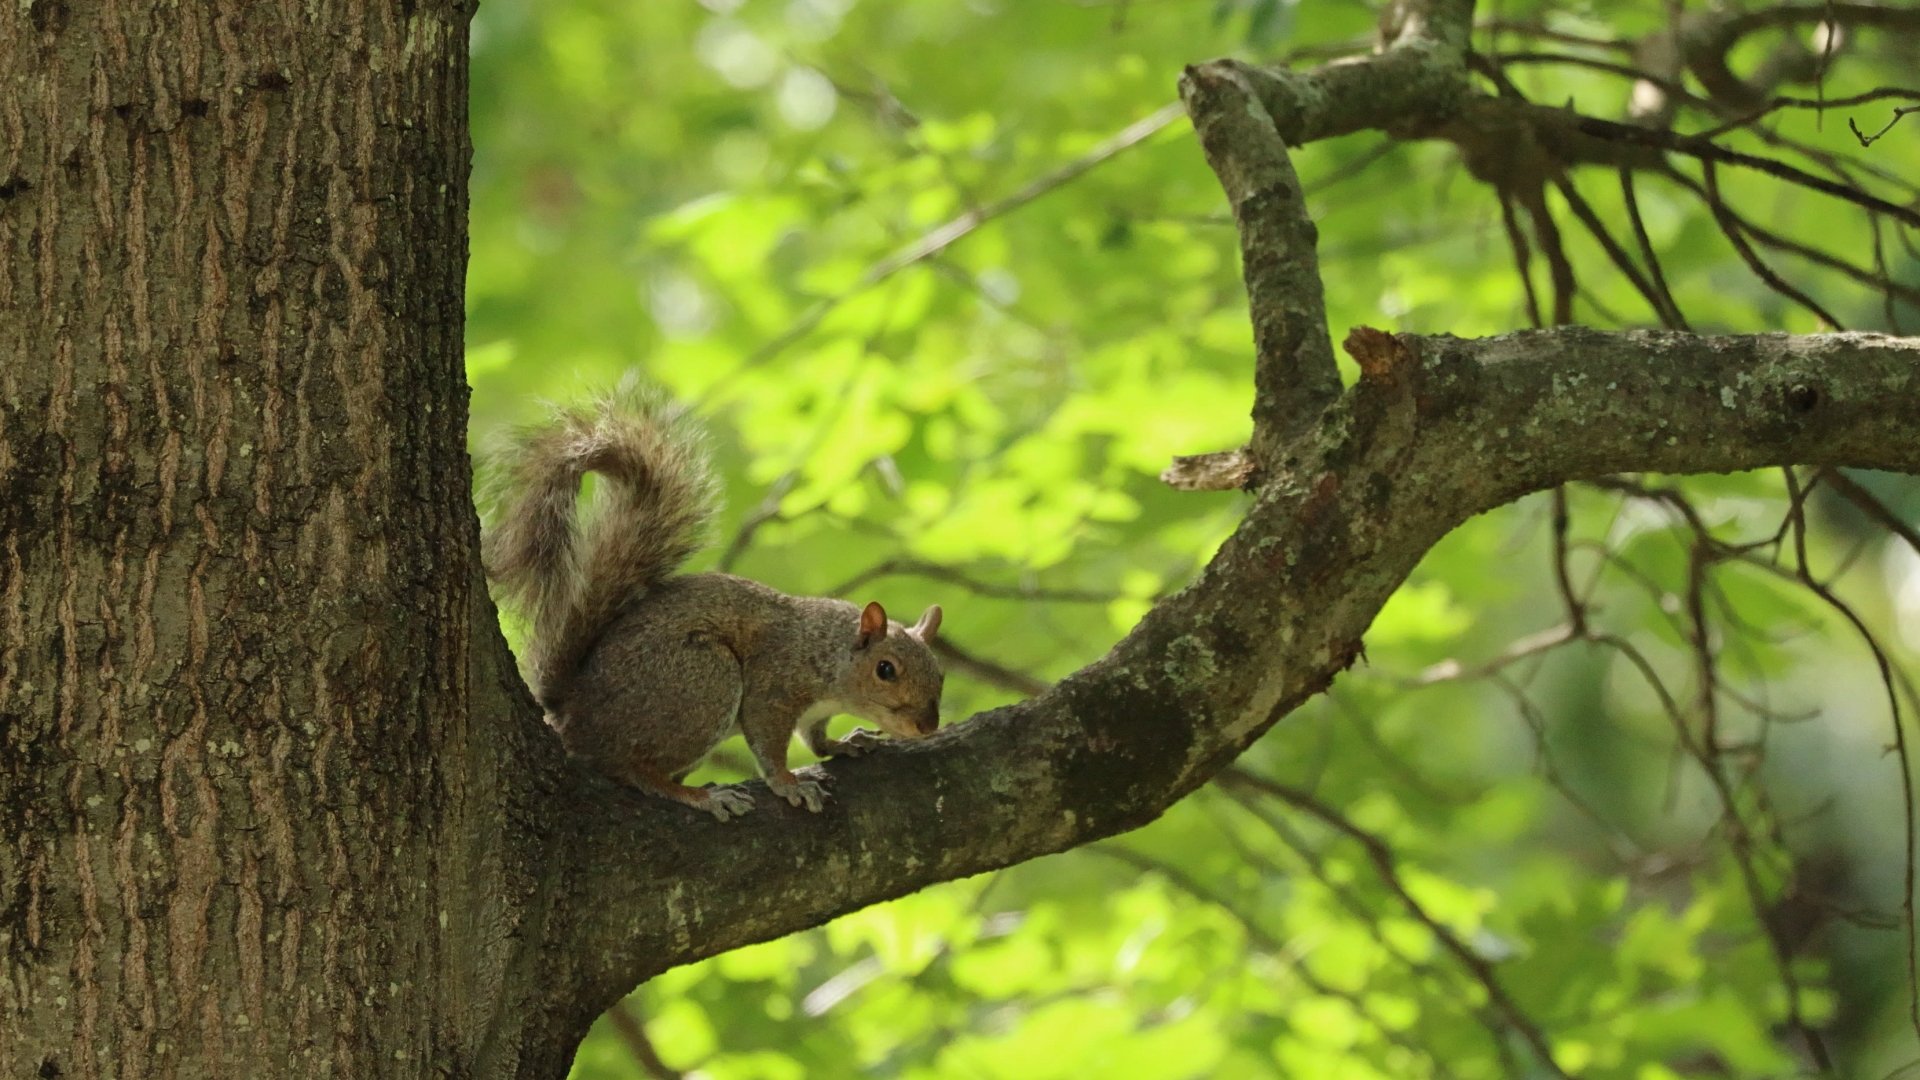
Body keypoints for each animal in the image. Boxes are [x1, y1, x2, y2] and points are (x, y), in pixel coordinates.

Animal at [481, 385, 946, 821]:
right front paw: (789, 784)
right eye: (886, 670)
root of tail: (572, 710)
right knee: (632, 768)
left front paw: (846, 742)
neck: (827, 654)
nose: (927, 726)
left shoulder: (814, 711)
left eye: (940, 674)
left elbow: (815, 739)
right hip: (704, 681)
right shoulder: (774, 684)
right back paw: (700, 797)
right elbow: (769, 742)